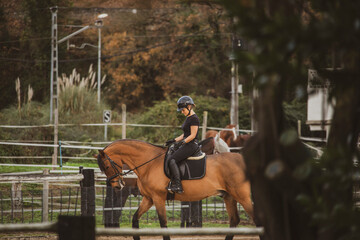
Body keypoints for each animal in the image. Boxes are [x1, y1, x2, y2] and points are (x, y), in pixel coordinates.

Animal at [95, 139, 253, 240]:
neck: (150, 163)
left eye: (107, 166)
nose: (116, 185)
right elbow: (135, 219)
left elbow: (163, 224)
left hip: (242, 196)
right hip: (229, 197)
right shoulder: (149, 199)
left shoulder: (158, 198)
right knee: (234, 220)